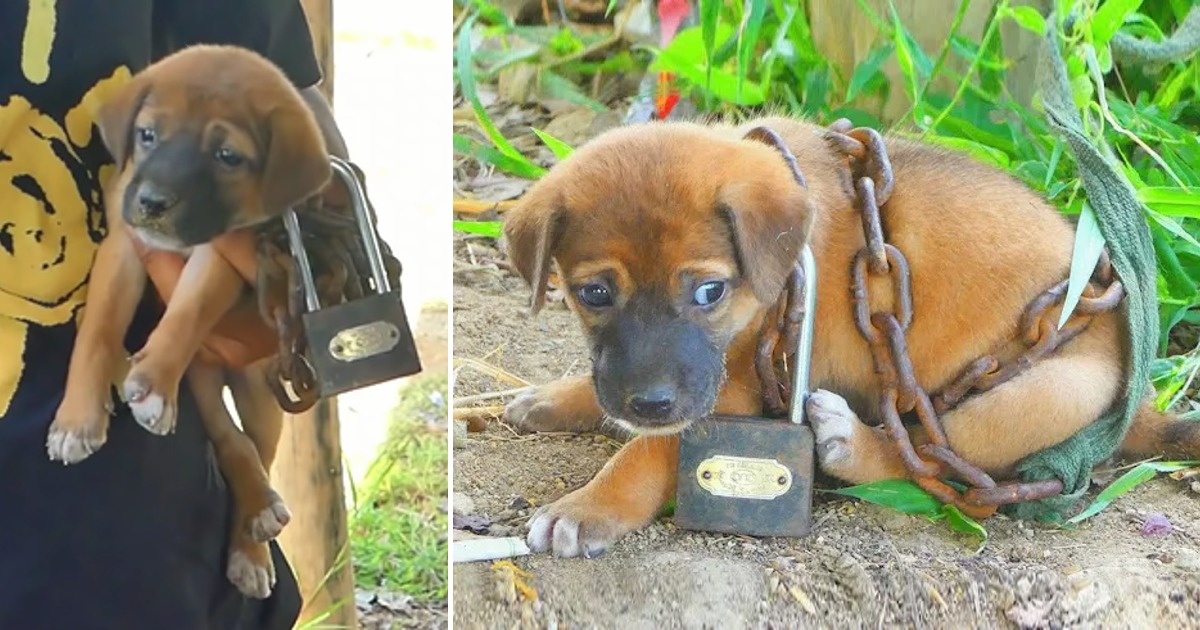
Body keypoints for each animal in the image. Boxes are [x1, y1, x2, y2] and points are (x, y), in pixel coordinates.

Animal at [45, 44, 333, 595]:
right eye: (147, 135)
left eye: (228, 157)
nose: (152, 204)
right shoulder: (123, 243)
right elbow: (97, 331)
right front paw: (77, 420)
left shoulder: (219, 254)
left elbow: (188, 311)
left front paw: (154, 378)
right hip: (204, 379)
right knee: (229, 440)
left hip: (262, 389)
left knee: (255, 451)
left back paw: (254, 537)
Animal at [506, 116, 1200, 554]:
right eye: (594, 294)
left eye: (709, 292)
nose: (649, 404)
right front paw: (560, 398)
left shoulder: (731, 392)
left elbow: (648, 453)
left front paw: (589, 507)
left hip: (1048, 395)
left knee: (932, 456)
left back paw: (851, 442)